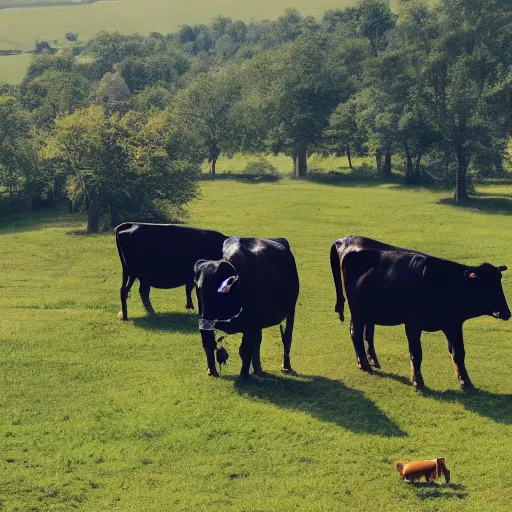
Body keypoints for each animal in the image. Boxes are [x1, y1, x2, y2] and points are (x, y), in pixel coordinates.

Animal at [195, 236, 300, 376]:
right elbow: (209, 344)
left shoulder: (250, 324)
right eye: (199, 288)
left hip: (291, 309)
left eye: (218, 290)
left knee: (287, 337)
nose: (205, 317)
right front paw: (212, 371)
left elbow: (245, 350)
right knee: (258, 341)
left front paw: (243, 375)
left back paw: (286, 366)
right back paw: (258, 369)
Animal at [330, 235, 510, 388]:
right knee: (355, 333)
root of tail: (344, 240)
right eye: (486, 285)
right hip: (358, 312)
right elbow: (416, 353)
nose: (506, 312)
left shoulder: (453, 323)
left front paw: (465, 381)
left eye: (498, 282)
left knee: (368, 334)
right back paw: (365, 364)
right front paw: (418, 380)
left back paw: (372, 360)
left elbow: (458, 352)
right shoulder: (412, 324)